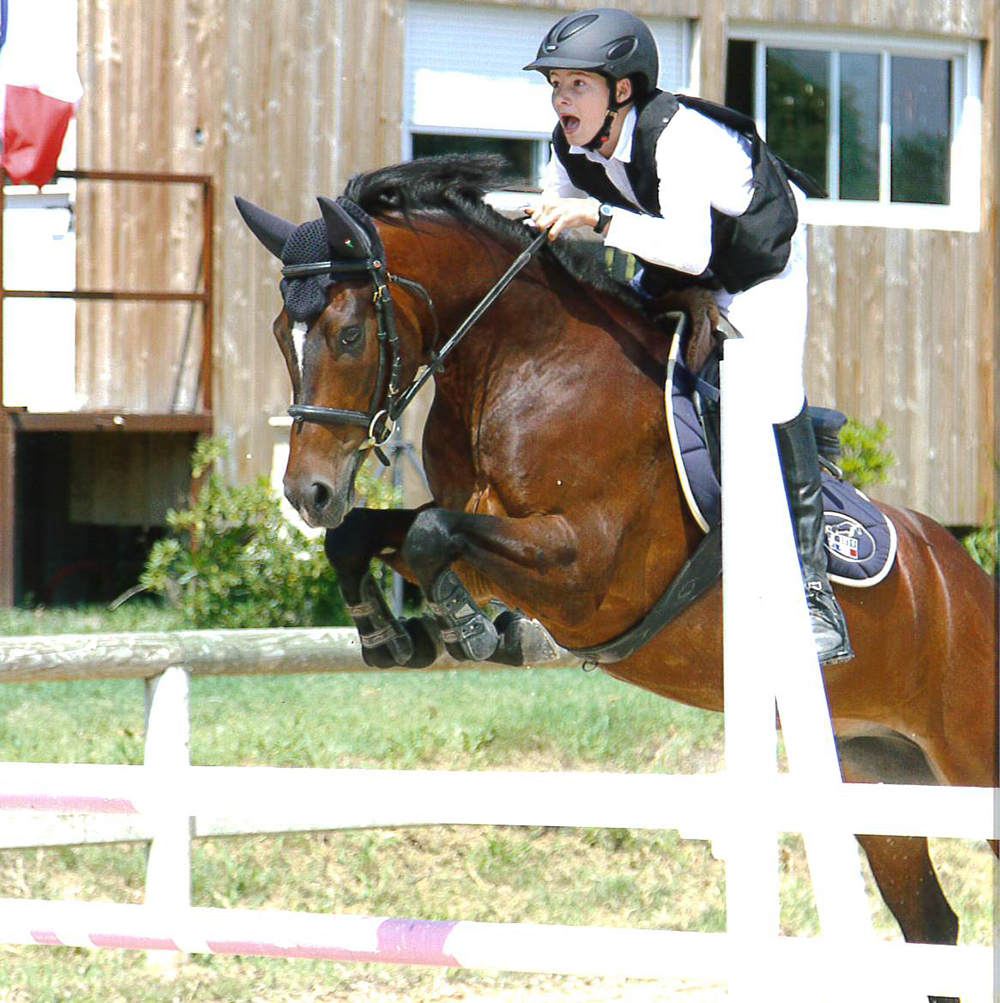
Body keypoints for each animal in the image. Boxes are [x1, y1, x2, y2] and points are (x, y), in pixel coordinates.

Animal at [237, 154, 997, 1000]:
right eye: (279, 335)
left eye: (347, 333)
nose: (307, 493)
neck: (521, 363)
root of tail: (968, 583)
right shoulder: (483, 529)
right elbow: (375, 537)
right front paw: (393, 633)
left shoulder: (583, 568)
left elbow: (434, 536)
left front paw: (467, 629)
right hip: (874, 773)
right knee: (931, 927)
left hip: (970, 759)